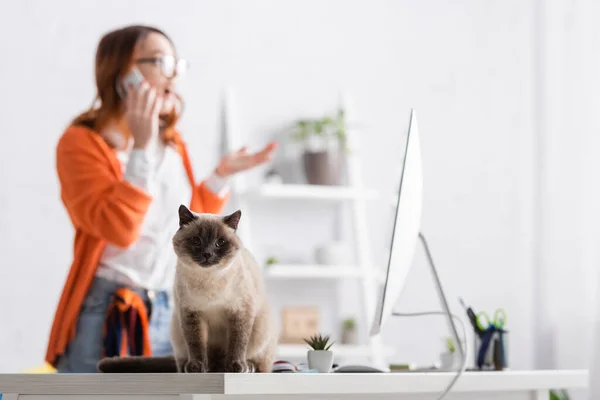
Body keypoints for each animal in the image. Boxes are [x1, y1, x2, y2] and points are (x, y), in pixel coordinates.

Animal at [96, 206, 278, 376]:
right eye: (196, 241)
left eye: (220, 242)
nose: (207, 254)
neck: (208, 280)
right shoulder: (192, 314)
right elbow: (196, 345)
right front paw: (197, 368)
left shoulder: (240, 313)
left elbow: (237, 343)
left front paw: (235, 367)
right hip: (177, 329)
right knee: (187, 359)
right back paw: (194, 367)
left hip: (262, 330)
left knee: (260, 363)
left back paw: (246, 367)